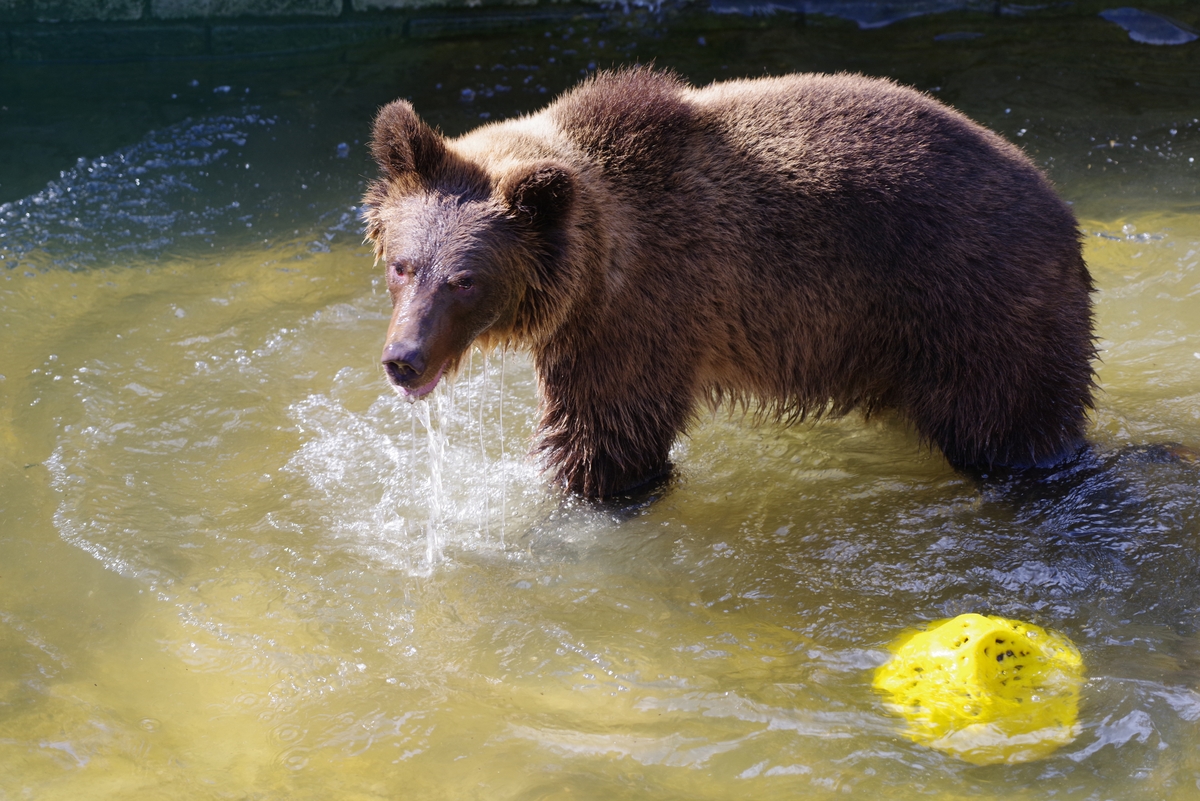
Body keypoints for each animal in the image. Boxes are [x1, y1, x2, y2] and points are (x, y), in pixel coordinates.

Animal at [362, 68, 1099, 496]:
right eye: (403, 265)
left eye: (465, 280)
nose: (403, 358)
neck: (600, 265)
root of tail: (1061, 207)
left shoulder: (643, 317)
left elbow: (607, 438)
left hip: (973, 305)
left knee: (1009, 423)